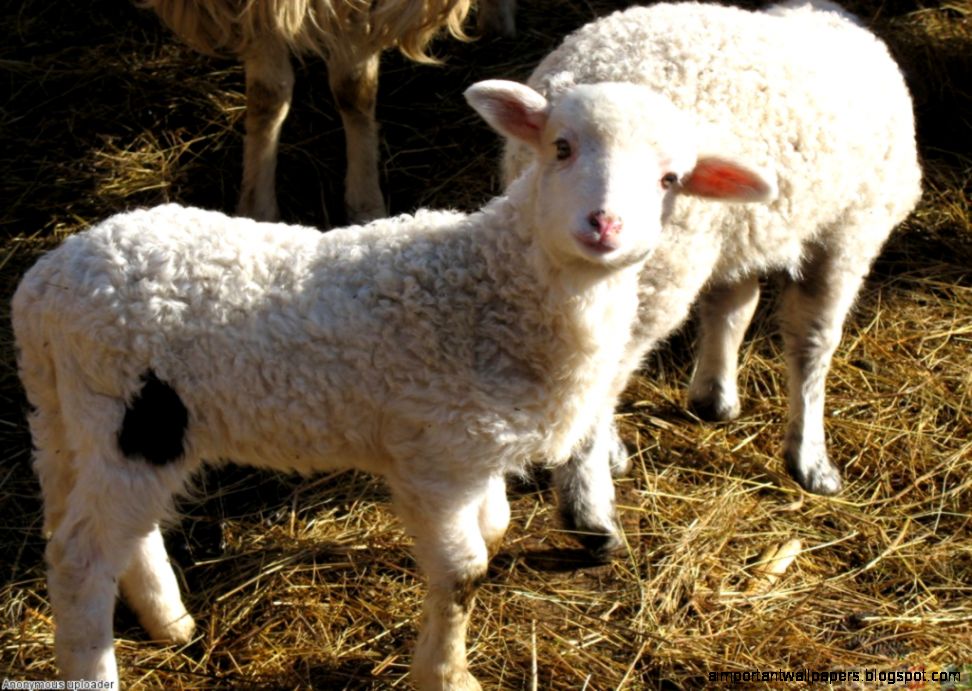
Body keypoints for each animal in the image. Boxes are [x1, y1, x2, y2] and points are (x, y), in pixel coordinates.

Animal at [13, 79, 774, 688]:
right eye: (560, 147)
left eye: (670, 179)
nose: (605, 224)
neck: (496, 287)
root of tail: (46, 286)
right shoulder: (434, 459)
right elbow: (465, 571)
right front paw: (445, 674)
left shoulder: (473, 455)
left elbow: (494, 529)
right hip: (133, 416)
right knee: (80, 557)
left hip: (79, 419)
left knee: (111, 531)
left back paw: (170, 621)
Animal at [503, 0, 923, 557]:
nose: (602, 221)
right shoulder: (849, 232)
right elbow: (813, 343)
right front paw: (810, 459)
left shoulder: (740, 233)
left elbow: (731, 306)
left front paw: (715, 396)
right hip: (657, 273)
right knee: (600, 381)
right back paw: (589, 513)